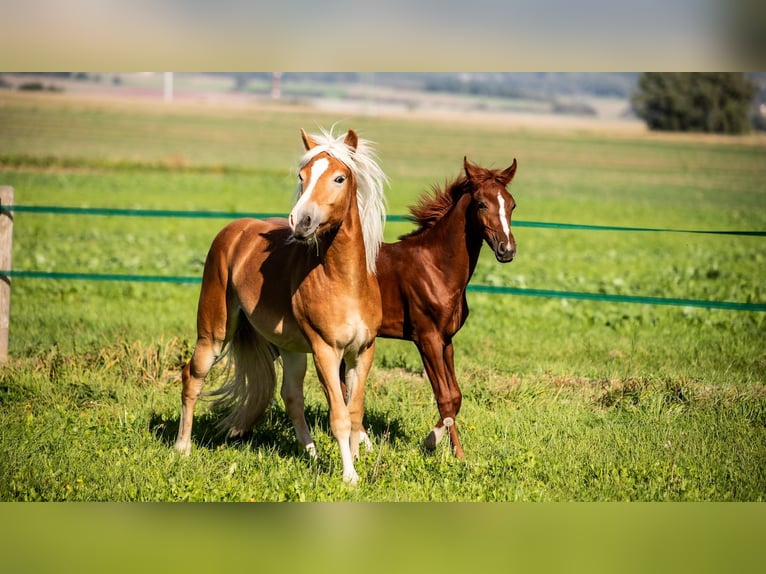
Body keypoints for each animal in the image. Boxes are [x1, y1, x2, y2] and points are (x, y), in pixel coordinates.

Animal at [176, 127, 388, 486]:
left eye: (339, 178)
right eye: (302, 177)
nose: (301, 221)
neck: (345, 282)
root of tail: (233, 232)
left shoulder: (363, 351)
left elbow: (355, 411)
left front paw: (356, 461)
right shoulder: (325, 350)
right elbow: (340, 416)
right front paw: (349, 476)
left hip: (291, 349)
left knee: (291, 398)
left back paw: (311, 454)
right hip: (214, 333)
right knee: (192, 378)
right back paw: (182, 448)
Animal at [350, 156, 520, 460]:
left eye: (511, 204)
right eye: (481, 204)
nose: (507, 250)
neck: (437, 267)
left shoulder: (446, 340)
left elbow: (456, 395)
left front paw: (453, 449)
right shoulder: (426, 338)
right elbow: (445, 397)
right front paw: (439, 445)